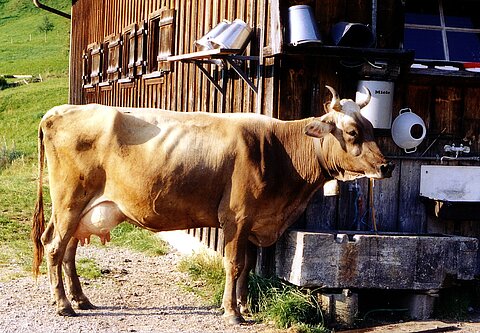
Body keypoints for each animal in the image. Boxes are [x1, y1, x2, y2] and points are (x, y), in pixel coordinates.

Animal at [31, 85, 394, 322]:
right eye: (352, 132)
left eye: (371, 128)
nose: (387, 166)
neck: (279, 150)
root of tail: (58, 111)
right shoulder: (237, 216)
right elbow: (233, 263)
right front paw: (232, 313)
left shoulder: (253, 220)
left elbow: (248, 266)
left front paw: (245, 306)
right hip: (69, 201)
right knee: (54, 247)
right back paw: (64, 305)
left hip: (81, 210)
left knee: (68, 250)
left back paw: (81, 299)